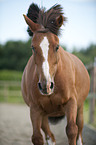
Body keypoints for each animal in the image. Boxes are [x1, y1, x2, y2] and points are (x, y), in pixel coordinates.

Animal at [21, 3, 89, 145]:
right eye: (33, 47)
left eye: (57, 47)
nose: (46, 86)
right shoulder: (35, 109)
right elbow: (37, 137)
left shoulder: (71, 102)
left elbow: (72, 130)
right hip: (44, 116)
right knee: (50, 136)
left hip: (80, 108)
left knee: (79, 132)